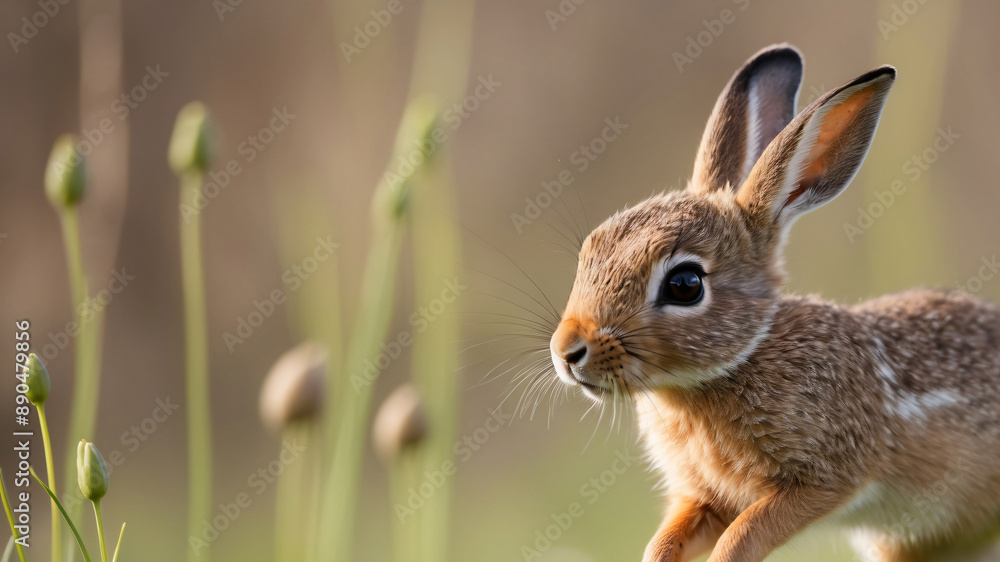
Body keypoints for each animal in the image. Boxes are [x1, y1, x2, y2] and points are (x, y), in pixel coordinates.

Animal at [548, 43, 1000, 562]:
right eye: (589, 251)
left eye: (685, 285)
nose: (567, 352)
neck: (730, 367)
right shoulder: (704, 496)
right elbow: (669, 539)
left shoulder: (823, 479)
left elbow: (744, 535)